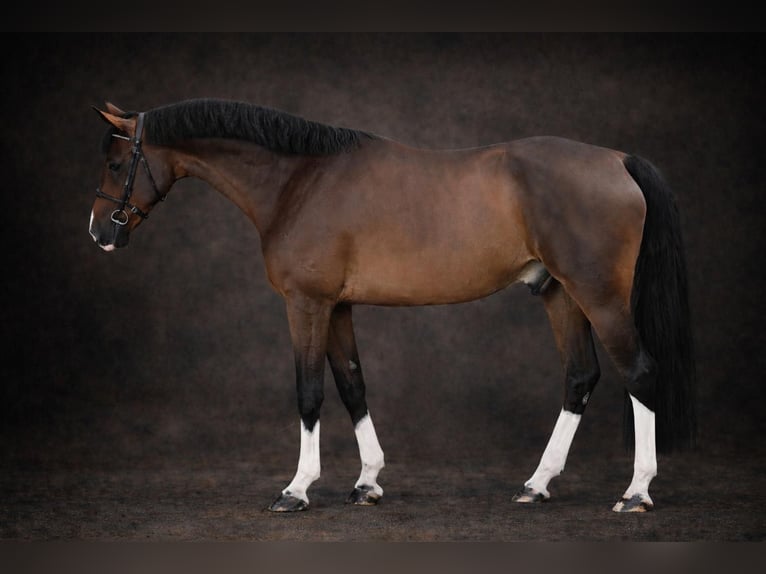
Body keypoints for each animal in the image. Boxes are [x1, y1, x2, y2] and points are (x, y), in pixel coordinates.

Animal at [88, 98, 695, 513]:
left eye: (117, 166)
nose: (99, 234)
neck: (300, 180)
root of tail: (618, 160)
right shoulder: (336, 307)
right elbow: (352, 385)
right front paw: (367, 482)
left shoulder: (306, 304)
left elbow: (309, 392)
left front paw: (296, 490)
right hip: (558, 293)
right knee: (580, 377)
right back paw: (537, 484)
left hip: (600, 297)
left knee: (639, 372)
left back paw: (636, 492)